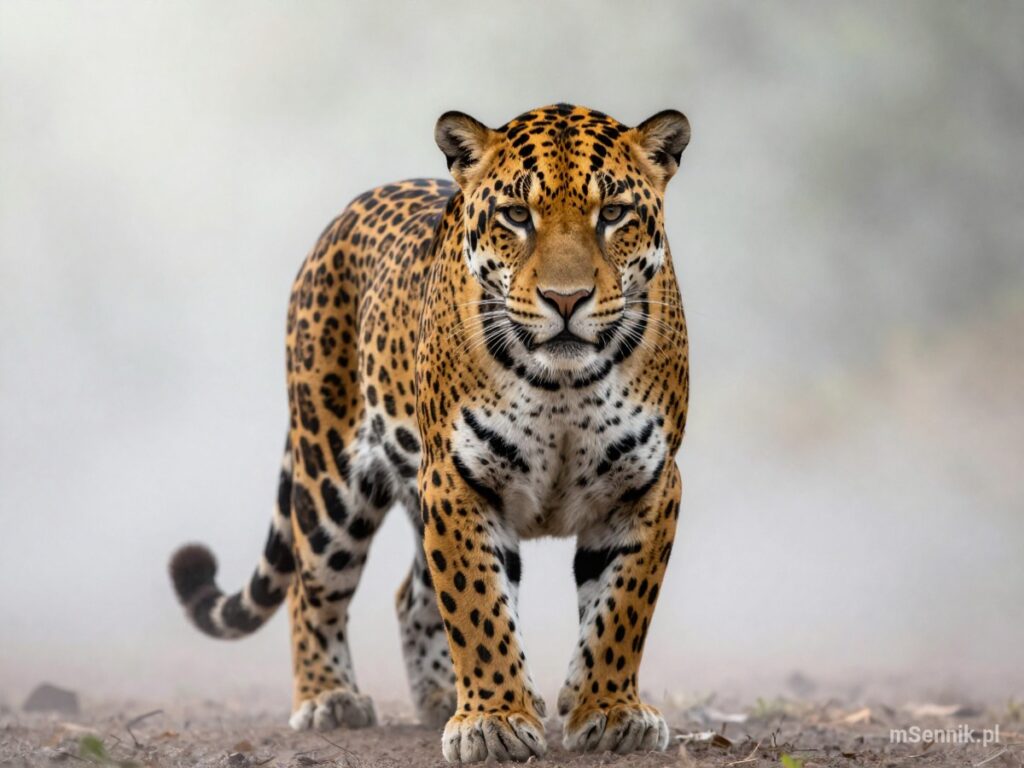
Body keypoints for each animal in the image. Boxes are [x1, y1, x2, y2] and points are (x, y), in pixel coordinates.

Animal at [170, 103, 691, 763]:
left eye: (614, 213)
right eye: (517, 216)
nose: (566, 299)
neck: (564, 384)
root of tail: (345, 214)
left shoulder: (647, 483)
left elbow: (621, 610)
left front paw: (608, 710)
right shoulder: (457, 481)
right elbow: (477, 607)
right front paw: (495, 720)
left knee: (411, 596)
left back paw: (440, 694)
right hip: (330, 480)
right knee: (312, 590)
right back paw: (329, 698)